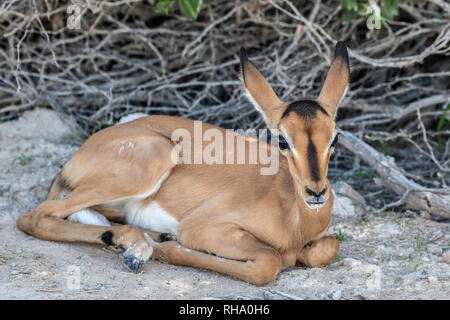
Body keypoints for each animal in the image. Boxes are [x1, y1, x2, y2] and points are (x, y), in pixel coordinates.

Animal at [16, 42, 352, 284]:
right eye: (282, 140)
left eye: (334, 137)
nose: (316, 192)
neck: (293, 221)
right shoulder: (202, 228)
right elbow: (269, 262)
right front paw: (168, 247)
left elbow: (327, 248)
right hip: (148, 166)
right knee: (34, 217)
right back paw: (141, 248)